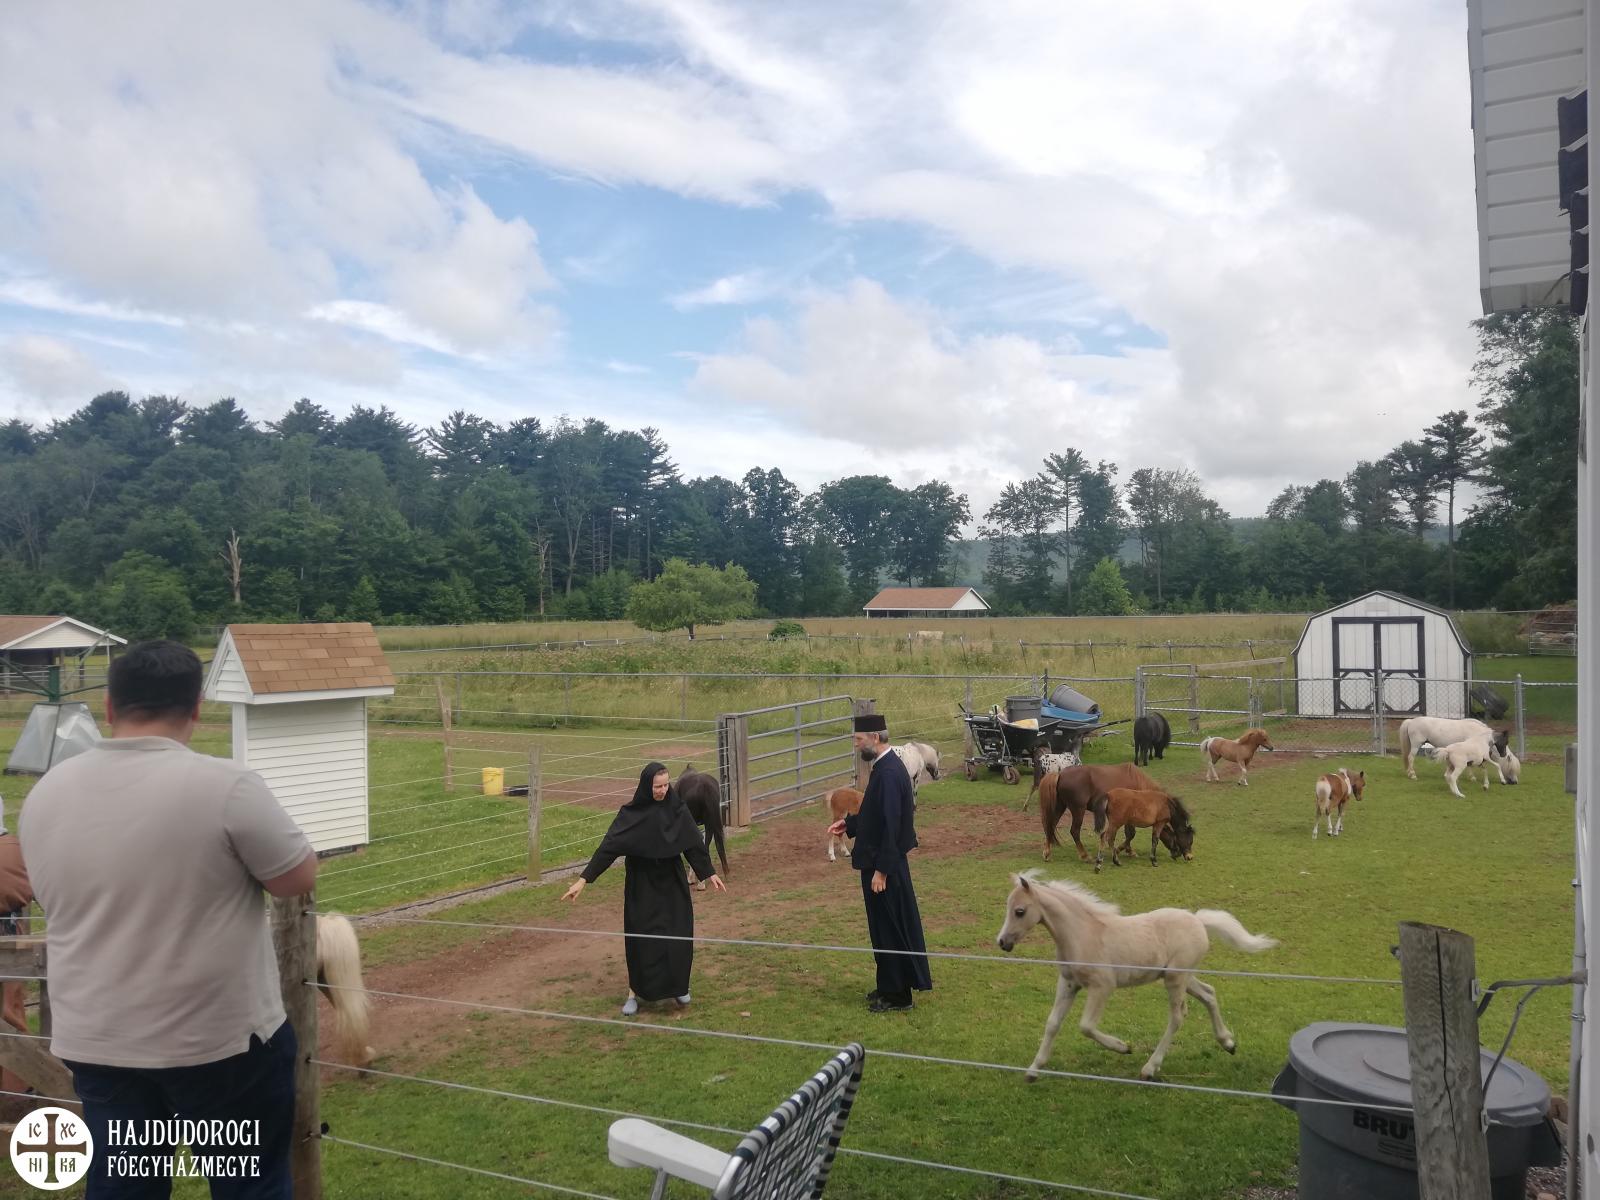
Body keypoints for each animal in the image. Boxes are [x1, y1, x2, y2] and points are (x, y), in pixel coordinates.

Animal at [995, 872, 1277, 1081]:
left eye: (1019, 911)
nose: (1002, 943)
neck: (1083, 934)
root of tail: (1198, 921)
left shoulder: (1102, 986)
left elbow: (1086, 1026)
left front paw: (1123, 1047)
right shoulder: (1068, 983)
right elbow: (1053, 1023)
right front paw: (1033, 1070)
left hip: (1175, 979)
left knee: (1177, 1017)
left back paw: (1149, 1069)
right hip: (1183, 977)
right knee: (1209, 994)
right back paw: (1228, 1043)